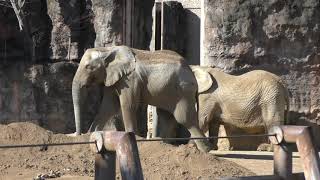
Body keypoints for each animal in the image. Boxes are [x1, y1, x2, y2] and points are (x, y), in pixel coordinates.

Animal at [72, 45, 212, 153]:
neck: (107, 49)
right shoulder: (114, 78)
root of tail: (192, 72)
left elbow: (127, 105)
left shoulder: (130, 79)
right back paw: (164, 143)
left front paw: (132, 136)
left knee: (184, 118)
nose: (77, 134)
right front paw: (90, 134)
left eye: (88, 67)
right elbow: (108, 107)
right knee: (167, 116)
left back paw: (206, 151)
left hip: (183, 91)